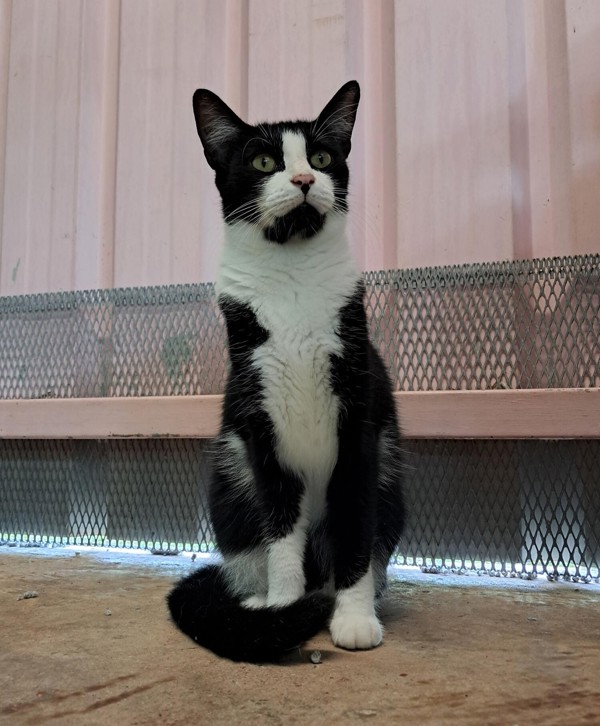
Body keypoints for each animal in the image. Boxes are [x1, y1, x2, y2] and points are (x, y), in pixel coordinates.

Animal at [167, 81, 405, 662]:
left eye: (320, 158)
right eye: (263, 161)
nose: (302, 180)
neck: (293, 275)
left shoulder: (361, 426)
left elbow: (355, 524)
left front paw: (353, 617)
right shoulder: (259, 426)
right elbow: (279, 528)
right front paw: (284, 610)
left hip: (391, 480)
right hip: (232, 476)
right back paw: (255, 603)